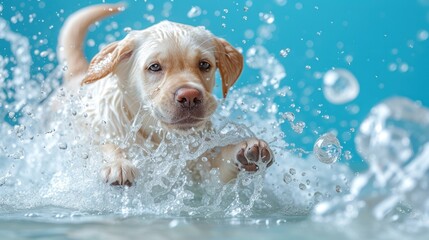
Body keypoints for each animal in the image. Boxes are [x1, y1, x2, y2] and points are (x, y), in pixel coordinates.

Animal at [56, 3, 272, 187]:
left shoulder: (201, 173)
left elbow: (217, 165)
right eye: (154, 67)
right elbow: (104, 143)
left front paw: (244, 151)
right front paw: (118, 163)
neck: (161, 139)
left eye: (204, 64)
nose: (190, 96)